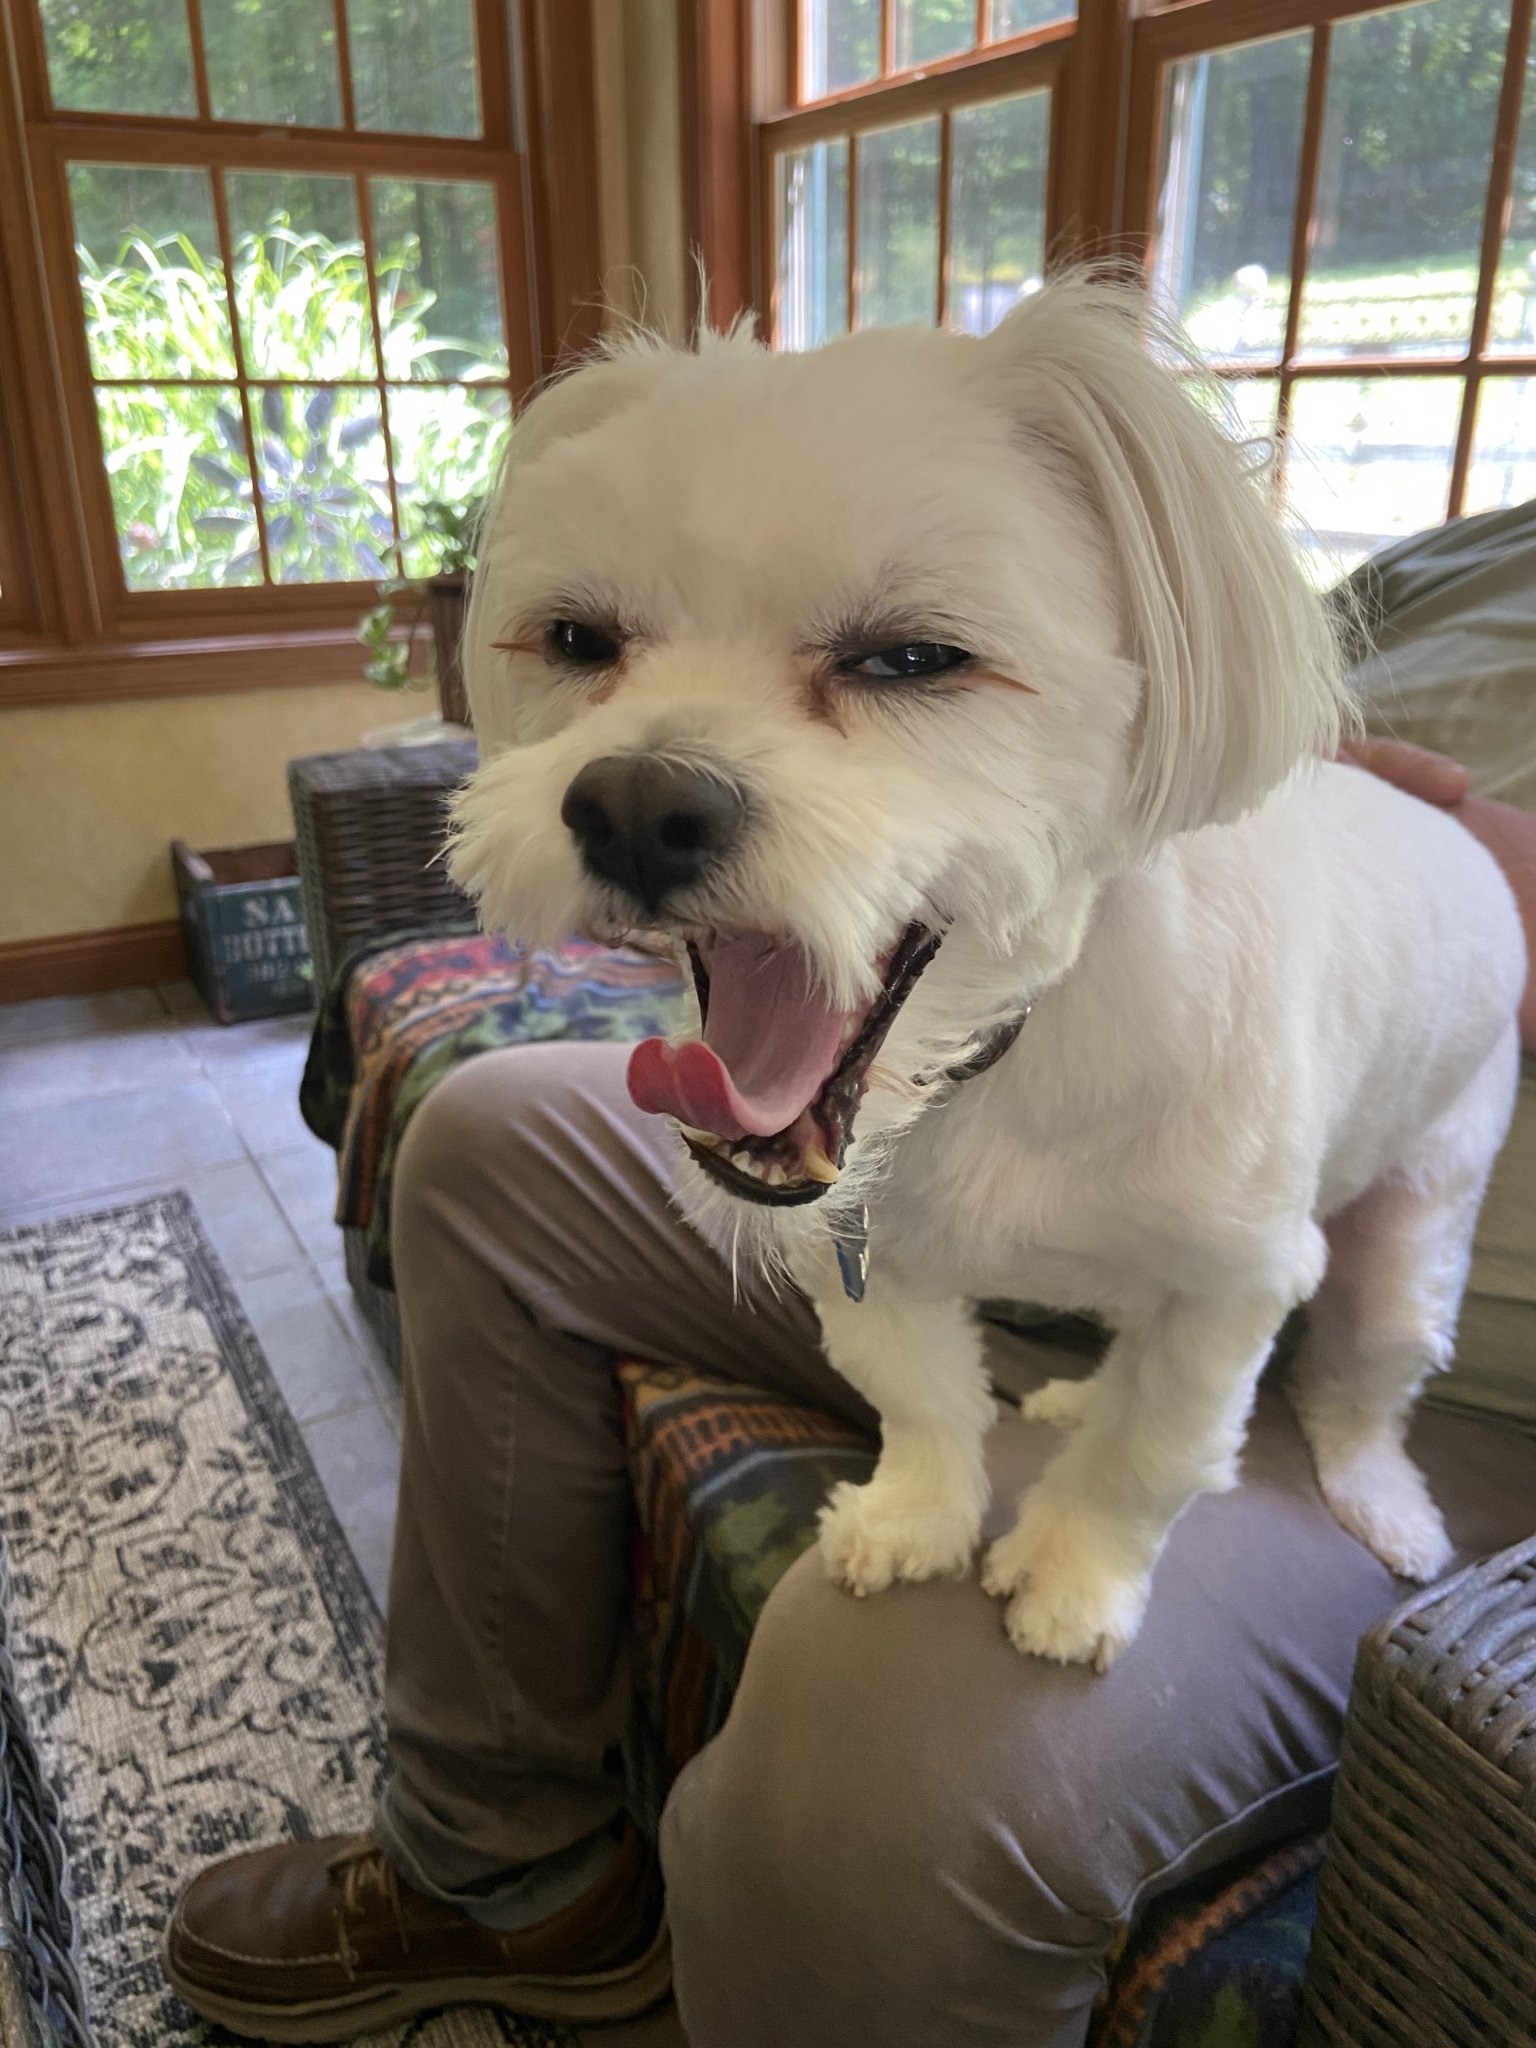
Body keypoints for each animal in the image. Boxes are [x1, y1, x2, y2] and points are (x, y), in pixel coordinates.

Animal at [449, 277, 1525, 1669]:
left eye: (912, 657)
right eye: (577, 639)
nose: (636, 806)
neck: (1000, 1056)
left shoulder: (1235, 1283)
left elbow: (1151, 1455)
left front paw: (1075, 1576)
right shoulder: (861, 1245)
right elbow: (918, 1391)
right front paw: (918, 1513)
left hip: (1423, 1210)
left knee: (1365, 1377)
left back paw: (1376, 1492)